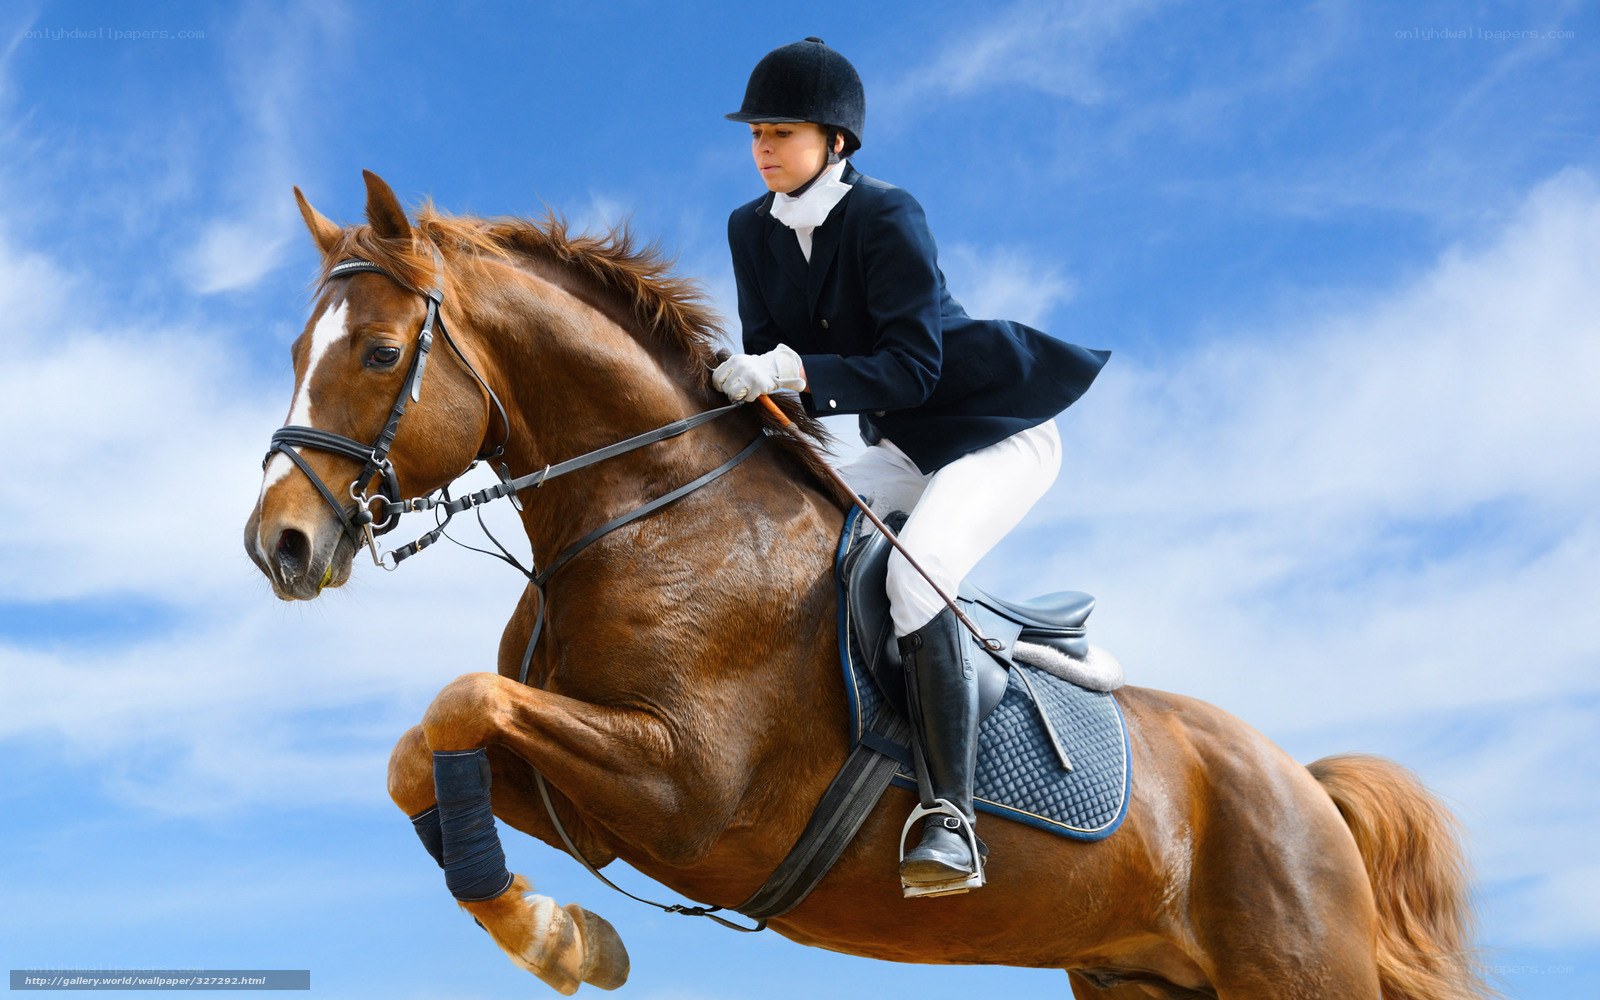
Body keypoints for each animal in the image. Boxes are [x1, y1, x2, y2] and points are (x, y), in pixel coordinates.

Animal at [243, 170, 1495, 1000]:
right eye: (297, 349)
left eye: (380, 354)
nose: (279, 547)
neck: (649, 511)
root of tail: (1305, 786)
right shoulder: (582, 797)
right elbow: (423, 748)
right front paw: (563, 935)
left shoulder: (685, 787)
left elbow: (459, 701)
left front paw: (555, 940)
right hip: (1139, 978)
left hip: (1296, 969)